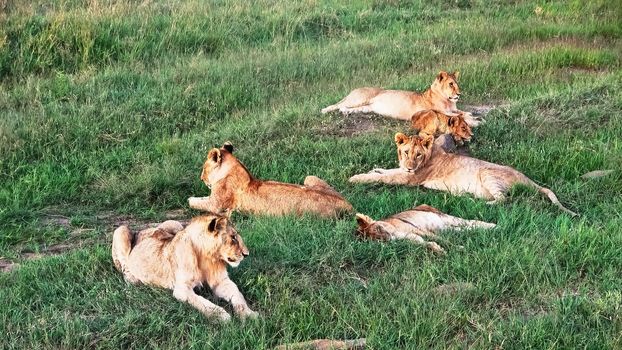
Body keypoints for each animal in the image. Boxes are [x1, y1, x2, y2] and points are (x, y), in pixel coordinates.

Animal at [112, 213, 258, 322]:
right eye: (233, 238)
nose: (246, 254)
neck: (208, 258)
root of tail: (142, 230)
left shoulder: (221, 282)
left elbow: (238, 295)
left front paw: (249, 314)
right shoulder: (182, 289)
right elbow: (201, 301)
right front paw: (221, 316)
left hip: (174, 223)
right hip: (121, 230)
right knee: (124, 266)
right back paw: (133, 279)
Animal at [188, 142, 354, 216]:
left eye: (203, 168)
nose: (201, 178)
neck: (234, 168)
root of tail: (347, 204)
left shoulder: (216, 204)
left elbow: (196, 202)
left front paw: (190, 199)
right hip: (310, 177)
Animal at [322, 70, 482, 126]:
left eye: (457, 84)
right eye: (451, 84)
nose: (459, 94)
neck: (448, 101)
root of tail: (355, 89)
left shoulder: (453, 109)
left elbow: (462, 112)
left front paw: (474, 116)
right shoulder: (440, 112)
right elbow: (459, 116)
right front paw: (476, 121)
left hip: (365, 108)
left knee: (345, 107)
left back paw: (346, 112)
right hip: (359, 98)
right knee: (336, 105)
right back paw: (324, 110)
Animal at [352, 133, 580, 217]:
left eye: (417, 155)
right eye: (406, 152)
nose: (409, 166)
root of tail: (529, 179)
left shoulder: (410, 179)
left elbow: (383, 177)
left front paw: (356, 178)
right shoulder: (402, 171)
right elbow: (386, 171)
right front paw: (374, 169)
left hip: (488, 173)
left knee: (503, 199)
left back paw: (476, 203)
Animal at [356, 202, 498, 254]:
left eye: (378, 229)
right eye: (377, 240)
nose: (386, 237)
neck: (396, 234)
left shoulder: (422, 231)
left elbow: (445, 241)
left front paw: (460, 248)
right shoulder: (416, 240)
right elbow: (430, 244)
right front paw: (441, 251)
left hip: (448, 218)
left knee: (472, 222)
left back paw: (494, 226)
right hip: (449, 228)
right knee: (466, 229)